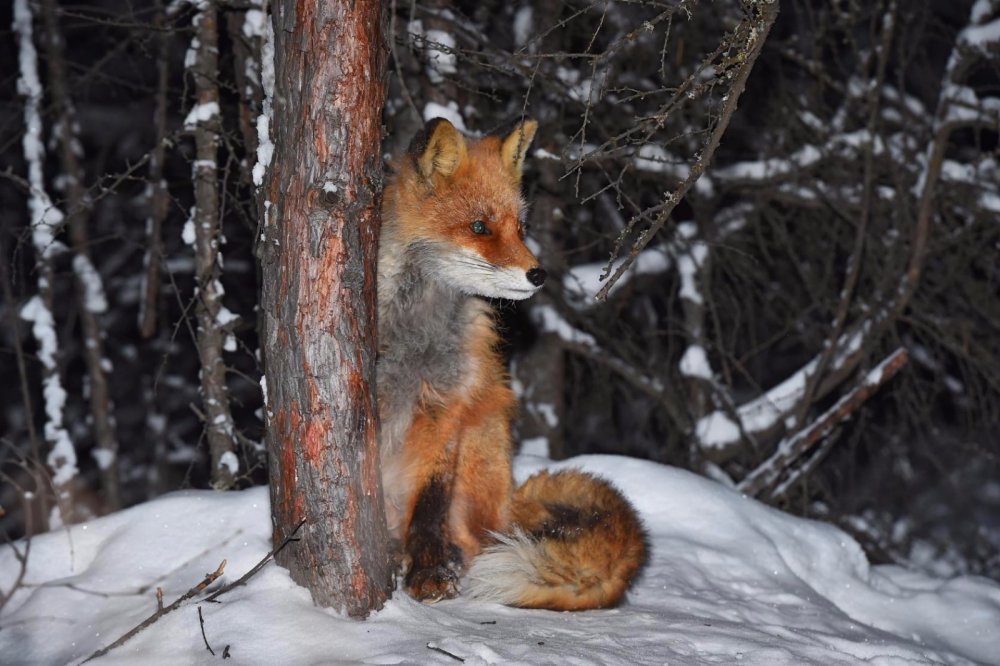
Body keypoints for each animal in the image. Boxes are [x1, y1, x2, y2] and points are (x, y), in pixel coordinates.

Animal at [377, 117, 646, 610]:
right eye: (479, 226)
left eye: (520, 227)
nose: (538, 275)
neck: (415, 331)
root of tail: (510, 497)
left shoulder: (448, 405)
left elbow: (429, 504)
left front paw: (429, 571)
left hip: (482, 437)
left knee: (478, 540)